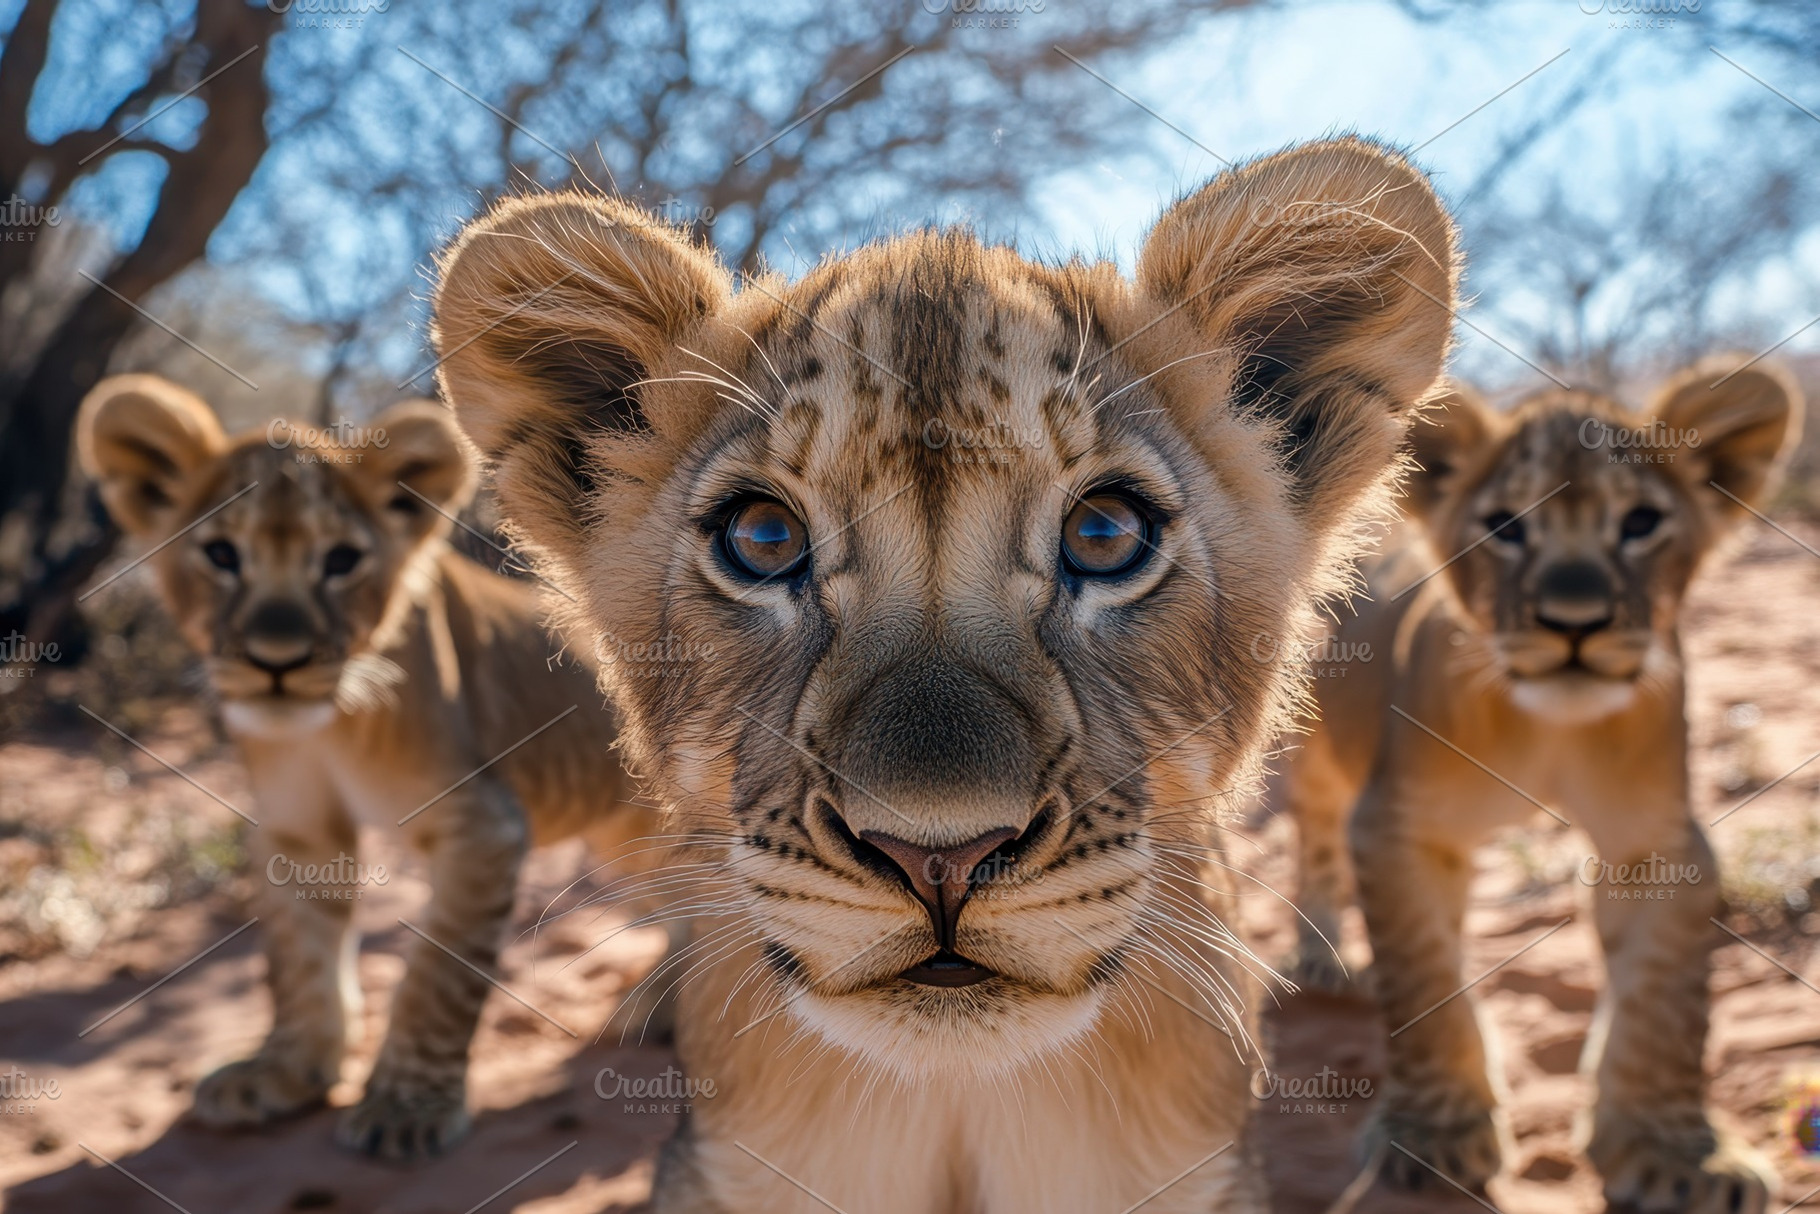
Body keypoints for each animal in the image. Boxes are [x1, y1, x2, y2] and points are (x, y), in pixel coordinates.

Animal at [76, 378, 672, 1159]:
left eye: (341, 561)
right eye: (221, 554)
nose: (276, 662)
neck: (330, 725)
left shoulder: (482, 826)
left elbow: (438, 974)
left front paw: (405, 1108)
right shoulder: (299, 828)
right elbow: (299, 959)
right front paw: (287, 1073)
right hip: (622, 844)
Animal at [1277, 362, 1803, 1212]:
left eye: (1641, 522)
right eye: (1504, 526)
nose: (1575, 621)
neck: (1547, 730)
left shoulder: (1657, 840)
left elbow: (1663, 1003)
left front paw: (1676, 1155)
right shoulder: (1399, 825)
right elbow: (1424, 978)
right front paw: (1435, 1137)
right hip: (1316, 737)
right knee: (1313, 827)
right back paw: (1320, 956)